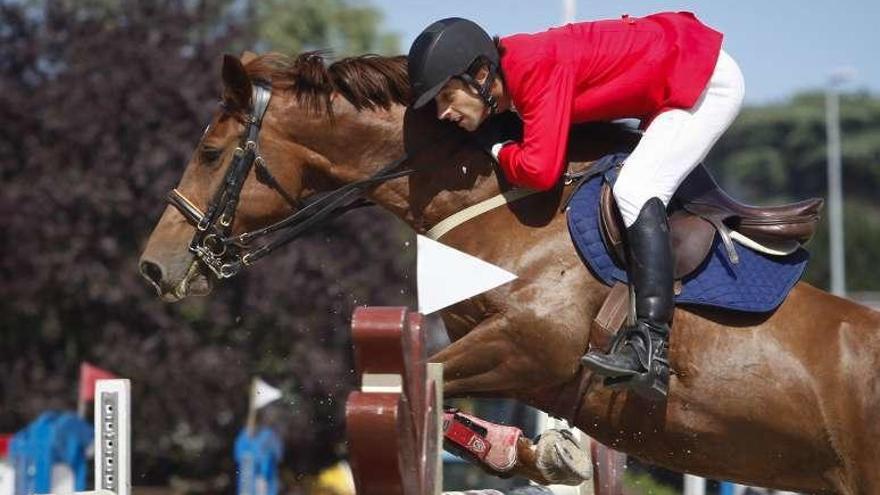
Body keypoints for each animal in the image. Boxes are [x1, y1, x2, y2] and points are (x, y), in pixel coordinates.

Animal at [139, 52, 880, 494]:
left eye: (210, 153)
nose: (153, 267)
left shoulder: (528, 348)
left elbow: (422, 382)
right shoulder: (515, 362)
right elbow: (442, 399)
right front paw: (536, 453)